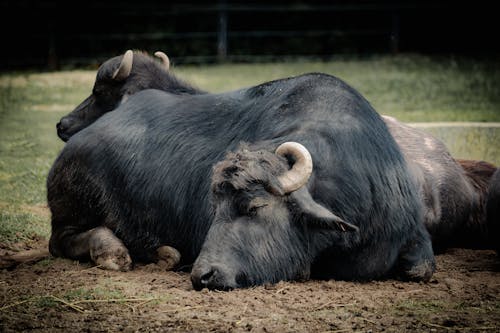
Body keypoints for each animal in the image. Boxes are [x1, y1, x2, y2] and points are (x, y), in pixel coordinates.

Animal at [48, 70, 436, 288]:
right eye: (215, 211)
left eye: (255, 207)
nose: (202, 276)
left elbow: (422, 269)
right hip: (72, 204)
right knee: (62, 240)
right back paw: (111, 250)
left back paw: (164, 254)